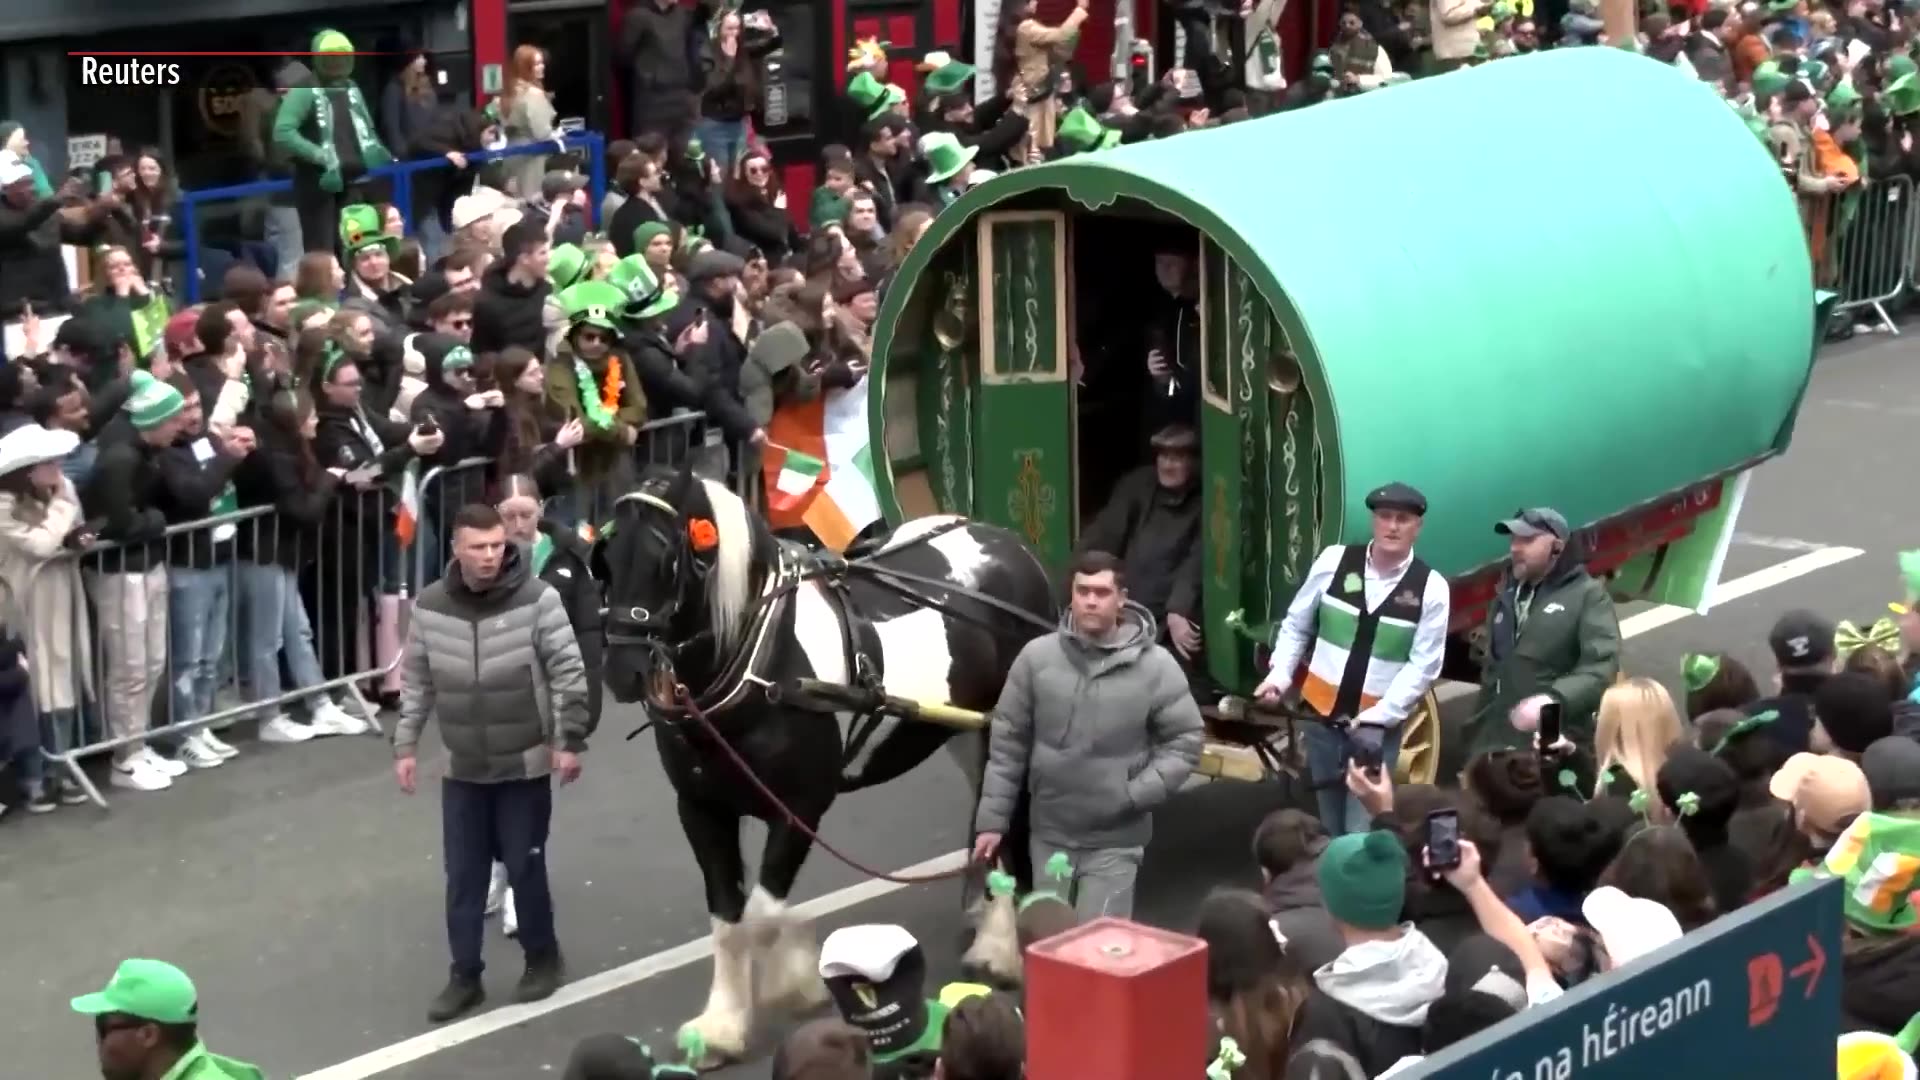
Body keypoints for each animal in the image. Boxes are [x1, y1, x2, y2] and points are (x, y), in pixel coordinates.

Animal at [595, 463, 1059, 1060]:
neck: (764, 661)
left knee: (1006, 820)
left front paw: (792, 982)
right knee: (986, 813)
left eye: (667, 559)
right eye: (605, 560)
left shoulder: (800, 806)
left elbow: (764, 914)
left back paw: (997, 946)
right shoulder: (700, 809)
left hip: (1003, 727)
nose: (622, 671)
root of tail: (1012, 546)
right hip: (959, 731)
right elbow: (728, 920)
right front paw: (722, 1025)